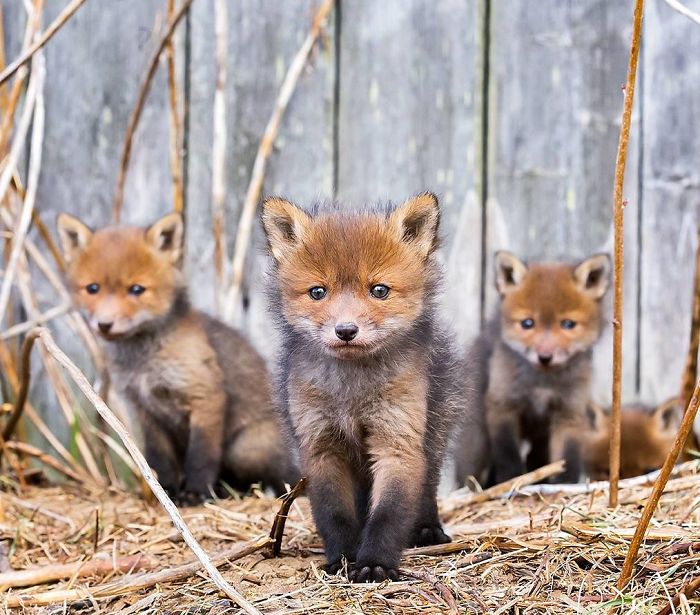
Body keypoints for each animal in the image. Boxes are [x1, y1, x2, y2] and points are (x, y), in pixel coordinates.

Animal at [57, 212, 298, 501]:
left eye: (136, 289)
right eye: (93, 288)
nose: (104, 324)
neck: (145, 361)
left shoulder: (205, 395)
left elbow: (201, 454)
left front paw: (195, 493)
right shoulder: (145, 409)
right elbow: (159, 459)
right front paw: (166, 490)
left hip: (244, 449)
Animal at [262, 193, 485, 583]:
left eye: (379, 290)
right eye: (317, 292)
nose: (346, 330)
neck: (351, 394)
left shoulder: (397, 442)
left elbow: (388, 514)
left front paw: (374, 563)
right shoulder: (321, 447)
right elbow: (334, 513)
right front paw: (341, 558)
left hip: (434, 437)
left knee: (426, 490)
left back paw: (427, 529)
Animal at [458, 251, 611, 486]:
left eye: (567, 324)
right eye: (527, 323)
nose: (545, 357)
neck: (541, 384)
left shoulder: (570, 412)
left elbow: (568, 458)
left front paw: (564, 484)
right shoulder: (503, 406)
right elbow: (508, 455)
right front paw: (511, 481)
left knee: (534, 459)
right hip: (477, 442)